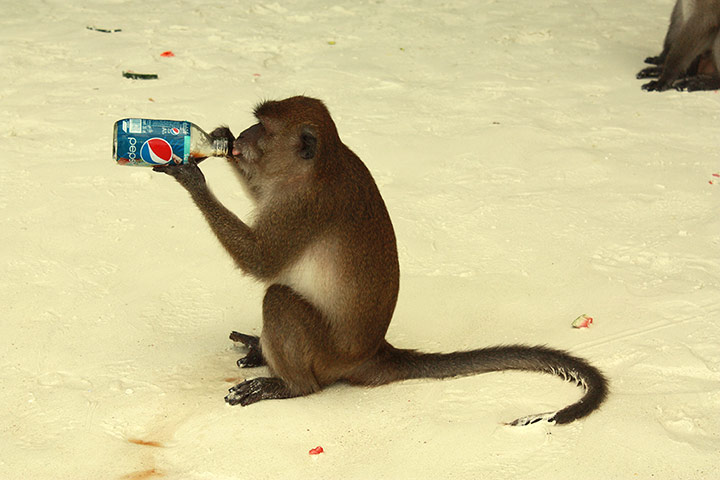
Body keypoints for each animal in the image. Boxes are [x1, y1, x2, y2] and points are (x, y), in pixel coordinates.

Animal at [153, 96, 608, 426]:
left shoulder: (303, 205)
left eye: (263, 128)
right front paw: (216, 139)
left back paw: (289, 385)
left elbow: (261, 262)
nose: (242, 136)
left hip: (326, 355)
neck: (323, 165)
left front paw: (190, 172)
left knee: (279, 298)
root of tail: (372, 352)